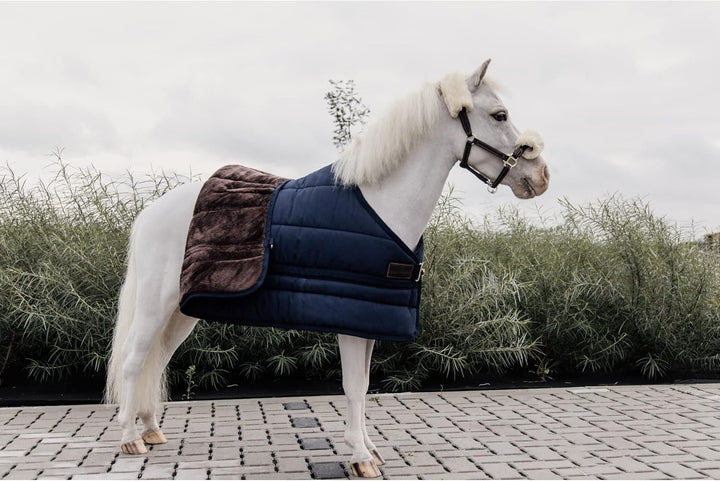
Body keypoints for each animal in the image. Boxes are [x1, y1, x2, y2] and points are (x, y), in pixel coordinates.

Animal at [104, 59, 550, 478]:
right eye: (499, 115)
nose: (540, 177)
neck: (379, 205)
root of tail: (151, 212)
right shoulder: (351, 322)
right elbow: (353, 388)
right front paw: (360, 459)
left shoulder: (370, 320)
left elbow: (365, 386)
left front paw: (368, 450)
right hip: (154, 306)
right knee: (132, 359)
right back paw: (129, 438)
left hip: (182, 312)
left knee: (157, 359)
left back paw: (151, 429)